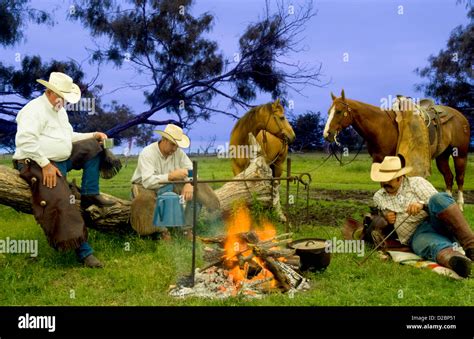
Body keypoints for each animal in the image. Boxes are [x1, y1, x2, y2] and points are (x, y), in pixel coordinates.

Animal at [322, 90, 470, 211]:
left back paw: (460, 205)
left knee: (460, 177)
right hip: (442, 156)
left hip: (460, 155)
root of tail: (461, 116)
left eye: (339, 111)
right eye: (329, 112)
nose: (327, 134)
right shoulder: (378, 160)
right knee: (448, 177)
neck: (381, 127)